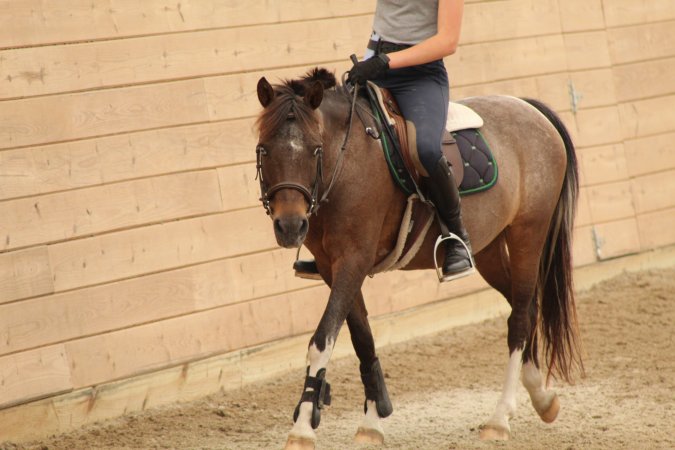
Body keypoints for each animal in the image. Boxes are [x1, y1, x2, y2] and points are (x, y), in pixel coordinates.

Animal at [256, 67, 584, 450]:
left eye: (315, 150)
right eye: (264, 150)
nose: (290, 226)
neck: (346, 161)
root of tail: (529, 108)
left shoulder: (353, 260)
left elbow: (322, 341)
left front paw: (303, 428)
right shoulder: (330, 266)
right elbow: (362, 339)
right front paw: (372, 421)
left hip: (527, 235)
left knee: (519, 318)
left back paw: (500, 418)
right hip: (488, 249)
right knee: (526, 307)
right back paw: (542, 398)